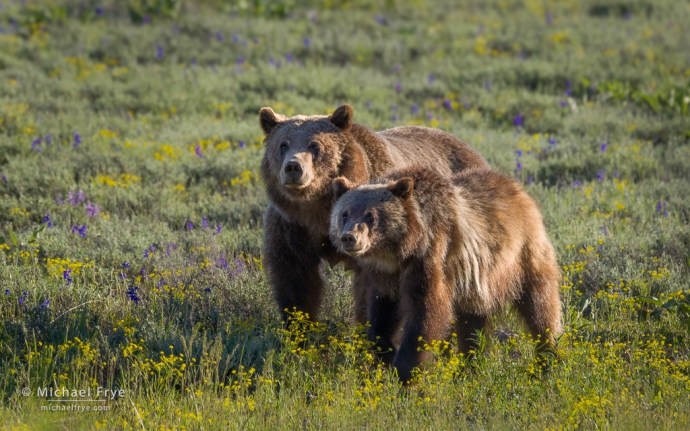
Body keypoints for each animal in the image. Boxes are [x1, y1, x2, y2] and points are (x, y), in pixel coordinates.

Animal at [260, 105, 490, 324]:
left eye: (315, 145)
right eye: (283, 144)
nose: (293, 167)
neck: (319, 210)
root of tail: (470, 149)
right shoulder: (292, 225)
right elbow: (295, 279)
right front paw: (299, 326)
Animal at [330, 167, 560, 384]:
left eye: (371, 215)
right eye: (345, 214)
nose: (349, 238)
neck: (402, 251)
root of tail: (519, 190)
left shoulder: (431, 256)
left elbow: (426, 313)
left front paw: (405, 372)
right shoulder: (386, 276)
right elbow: (382, 314)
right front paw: (387, 353)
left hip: (522, 256)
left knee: (540, 306)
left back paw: (548, 359)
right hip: (475, 285)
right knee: (472, 325)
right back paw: (469, 367)